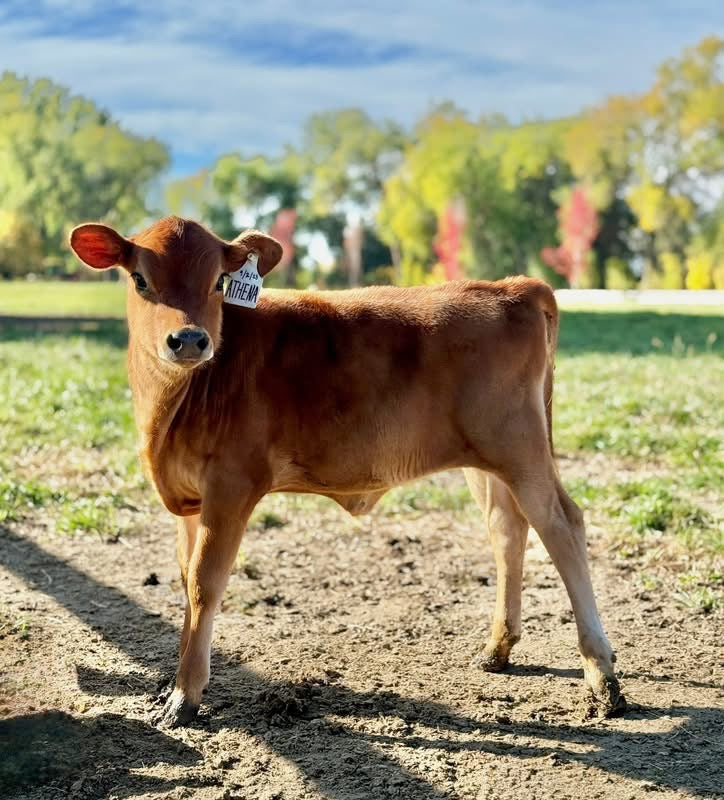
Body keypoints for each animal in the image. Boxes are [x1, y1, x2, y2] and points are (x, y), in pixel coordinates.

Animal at [70, 216, 626, 728]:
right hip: (486, 461)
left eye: (218, 282)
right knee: (508, 529)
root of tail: (513, 287)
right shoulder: (188, 498)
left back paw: (602, 677)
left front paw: (185, 697)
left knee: (562, 524)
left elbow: (205, 583)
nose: (188, 340)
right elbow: (185, 580)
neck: (171, 406)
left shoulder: (231, 485)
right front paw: (174, 683)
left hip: (521, 448)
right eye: (140, 279)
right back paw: (498, 648)